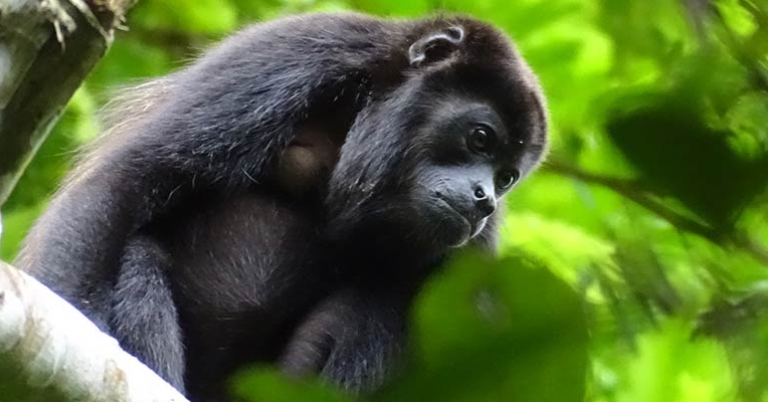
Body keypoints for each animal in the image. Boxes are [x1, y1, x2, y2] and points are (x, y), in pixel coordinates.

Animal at [16, 12, 548, 401]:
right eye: (481, 137)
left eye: (507, 177)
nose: (484, 198)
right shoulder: (300, 51)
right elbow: (122, 182)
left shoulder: (479, 246)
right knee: (134, 253)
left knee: (378, 305)